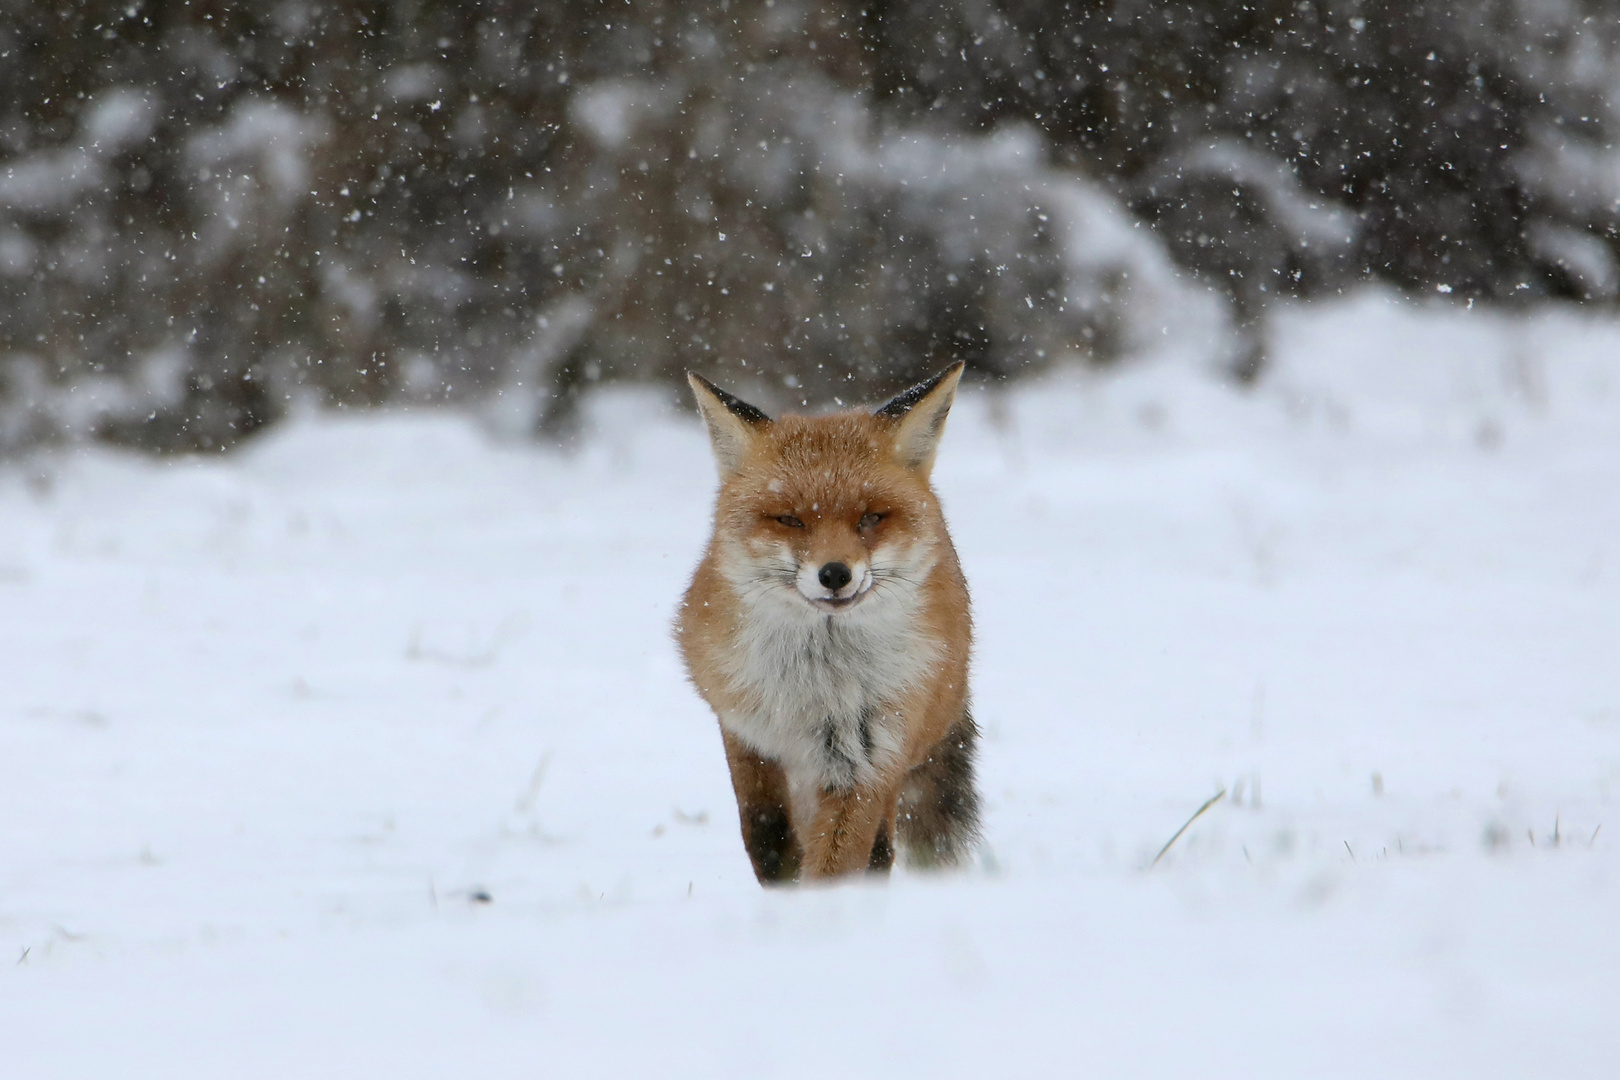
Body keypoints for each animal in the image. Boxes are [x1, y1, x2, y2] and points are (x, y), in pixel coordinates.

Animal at [670, 362, 972, 887]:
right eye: (790, 519)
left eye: (871, 517)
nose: (835, 574)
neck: (815, 684)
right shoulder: (745, 730)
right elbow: (766, 835)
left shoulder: (866, 757)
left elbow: (835, 862)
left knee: (880, 851)